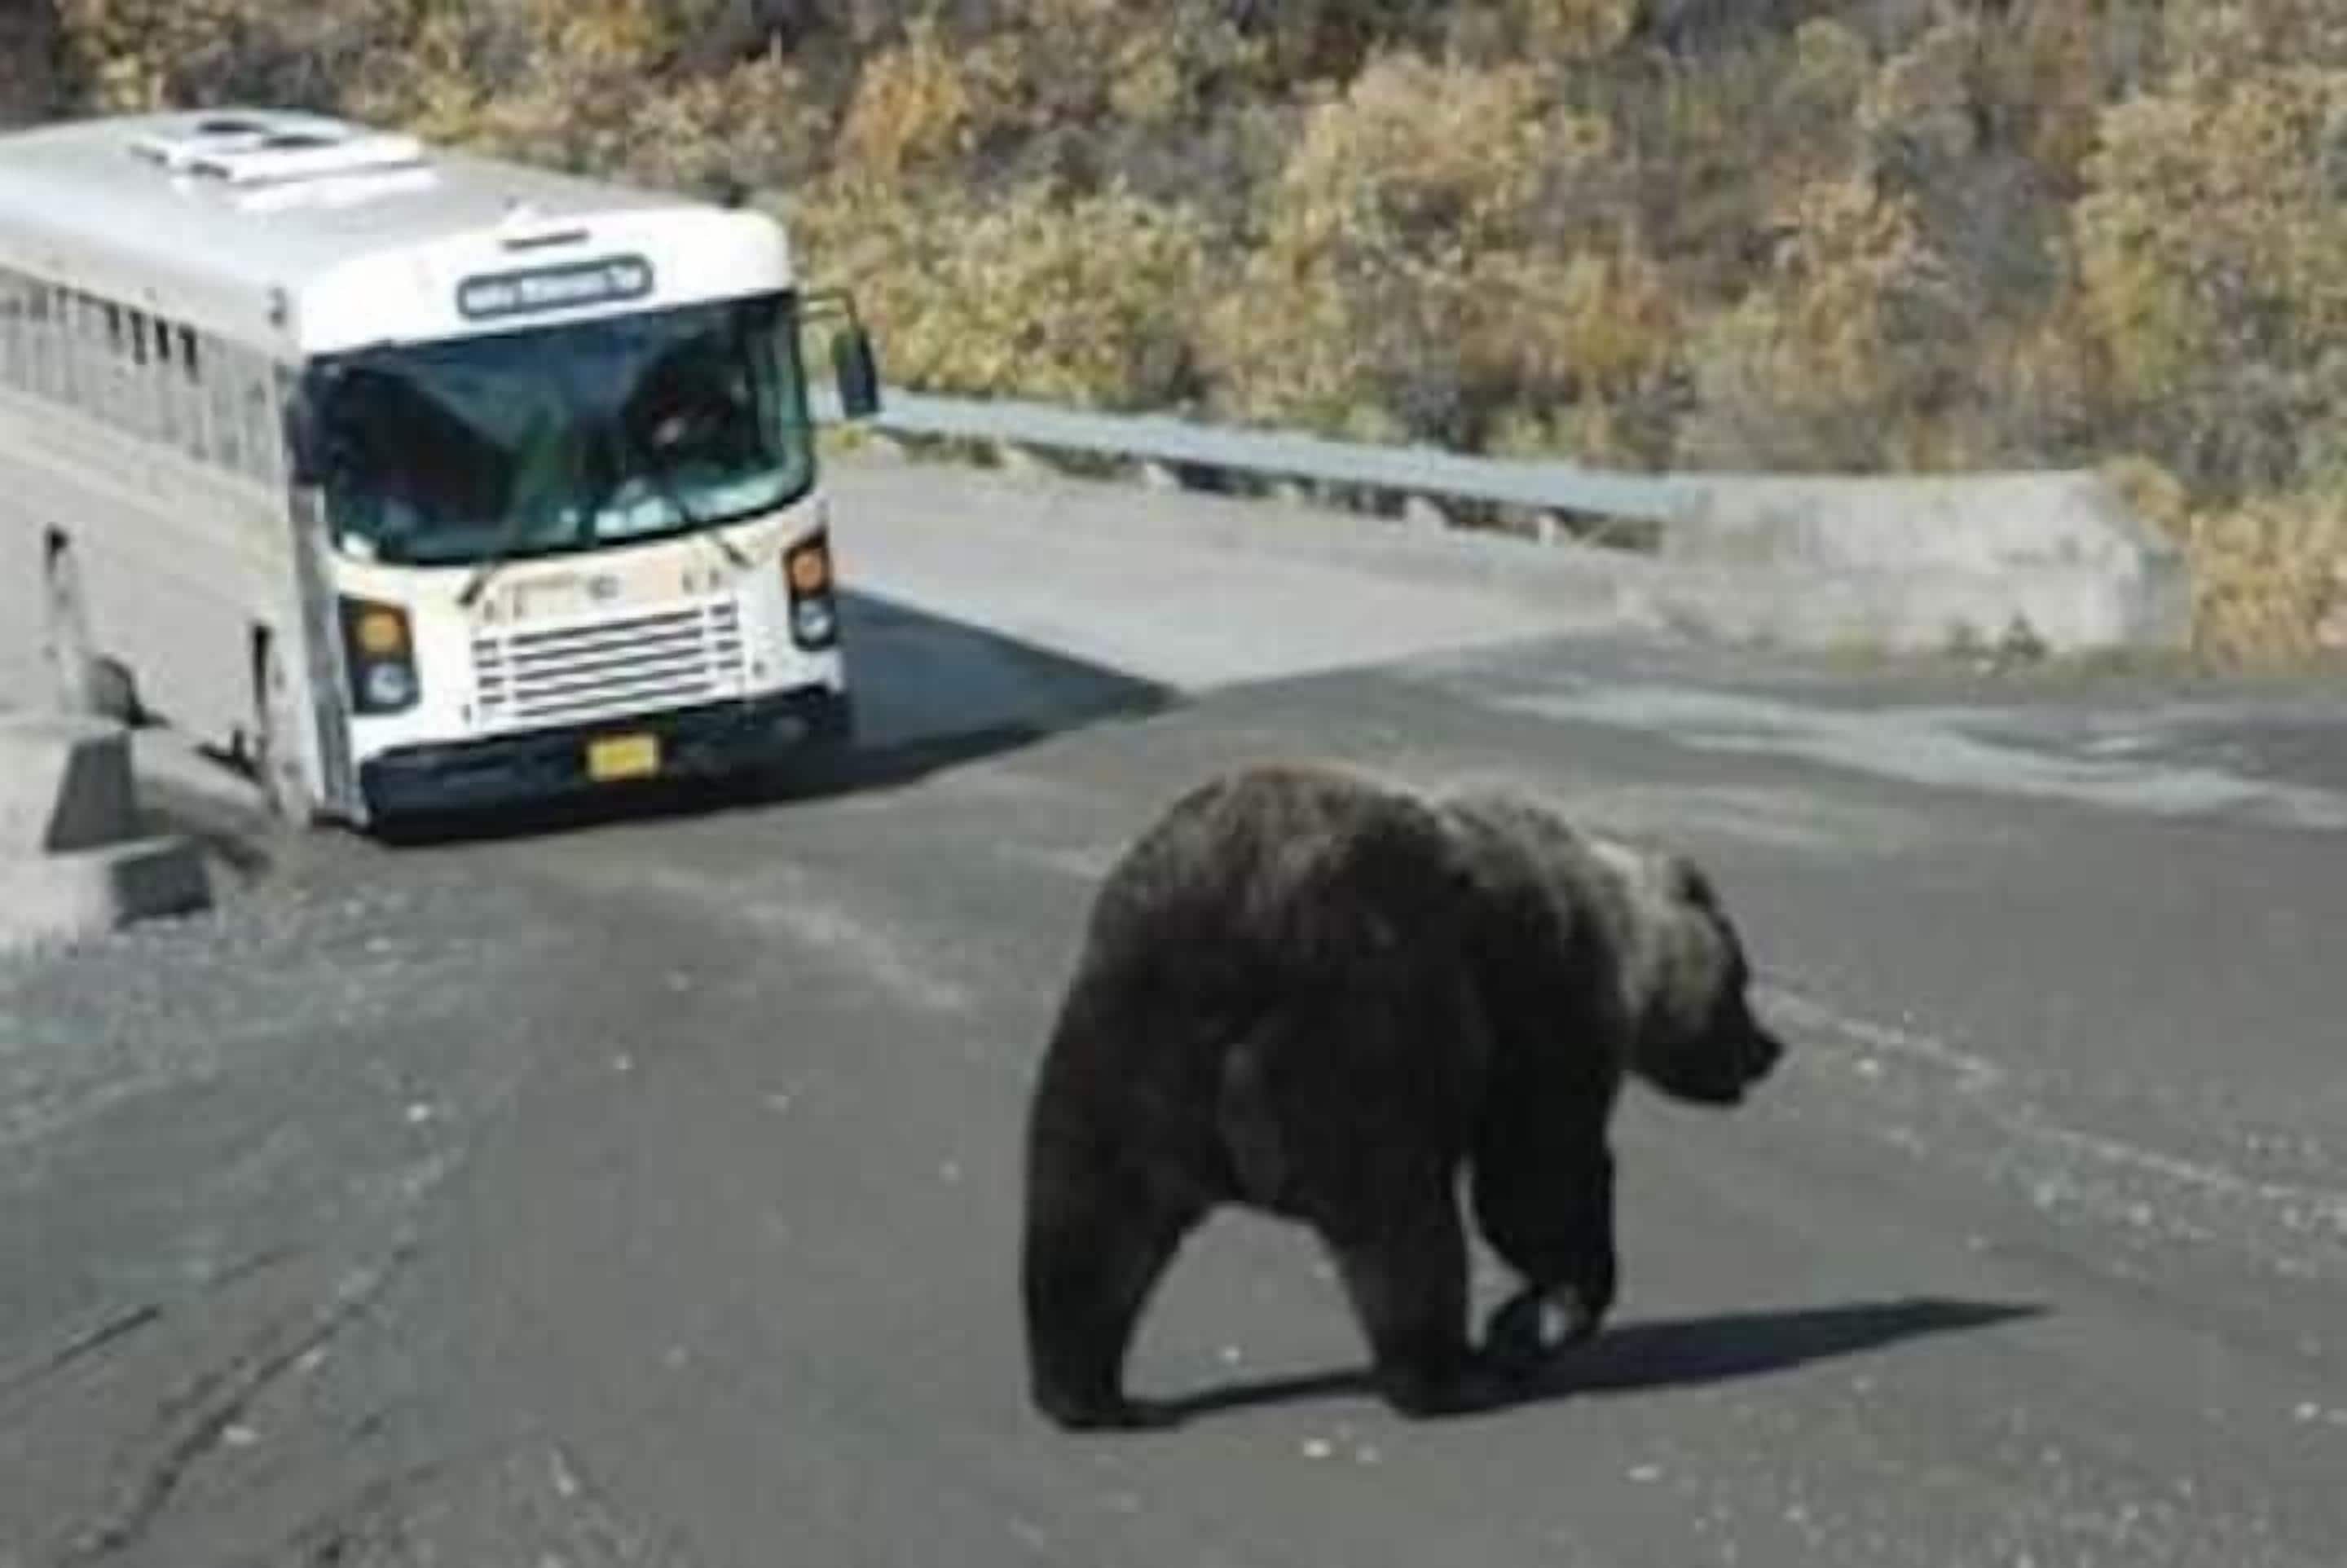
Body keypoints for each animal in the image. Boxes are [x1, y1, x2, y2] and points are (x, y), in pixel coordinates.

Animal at [1018, 761, 1786, 1431]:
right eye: (1743, 982)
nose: (1769, 1049)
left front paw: (1527, 1320)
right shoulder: (1540, 1001)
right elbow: (1538, 1177)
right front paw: (1543, 1314)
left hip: (1129, 1034)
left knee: (1091, 1222)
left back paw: (1089, 1395)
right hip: (1362, 1030)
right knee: (1405, 1227)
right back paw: (1445, 1378)